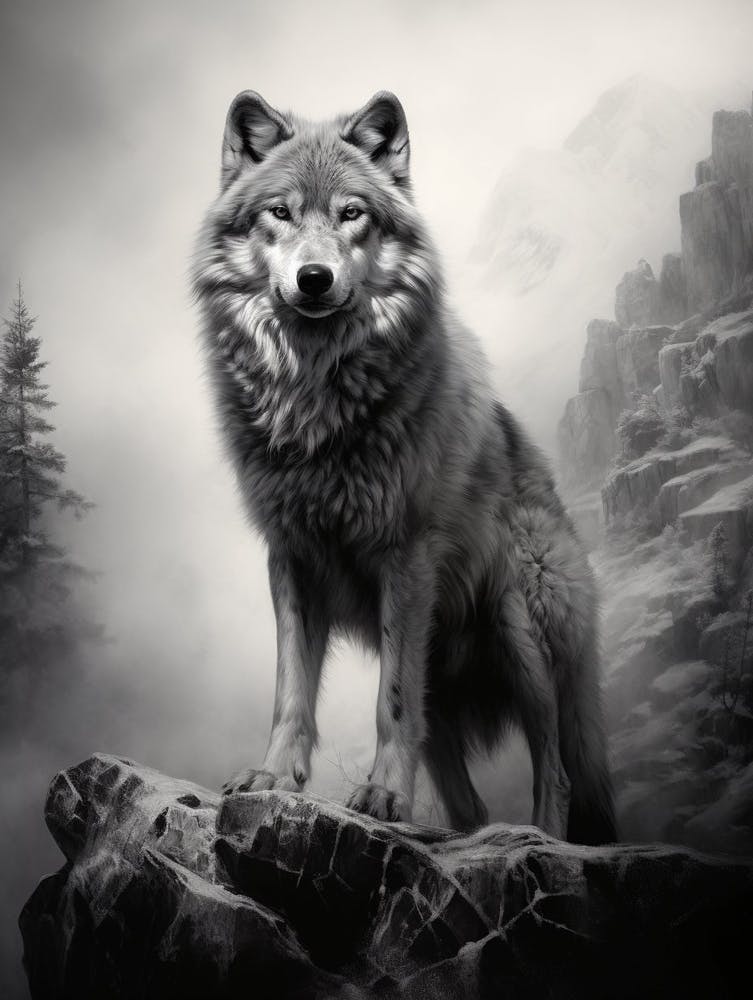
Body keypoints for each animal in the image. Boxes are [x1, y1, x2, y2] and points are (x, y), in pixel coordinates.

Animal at [192, 90, 616, 844]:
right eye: (280, 212)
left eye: (351, 213)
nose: (313, 279)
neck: (317, 403)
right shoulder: (289, 557)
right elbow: (291, 692)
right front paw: (272, 777)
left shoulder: (406, 557)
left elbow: (390, 702)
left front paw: (385, 796)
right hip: (444, 687)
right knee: (470, 803)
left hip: (517, 627)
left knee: (556, 763)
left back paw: (536, 834)